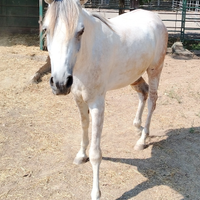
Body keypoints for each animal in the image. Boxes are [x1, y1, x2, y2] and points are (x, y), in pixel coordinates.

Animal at [43, 0, 167, 199]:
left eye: (80, 31)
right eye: (46, 29)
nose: (60, 83)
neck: (86, 56)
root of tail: (155, 18)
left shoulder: (97, 104)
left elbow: (96, 153)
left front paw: (96, 192)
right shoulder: (79, 99)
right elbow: (84, 127)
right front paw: (80, 155)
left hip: (155, 69)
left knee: (152, 100)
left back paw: (142, 140)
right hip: (133, 76)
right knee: (143, 92)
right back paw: (137, 127)